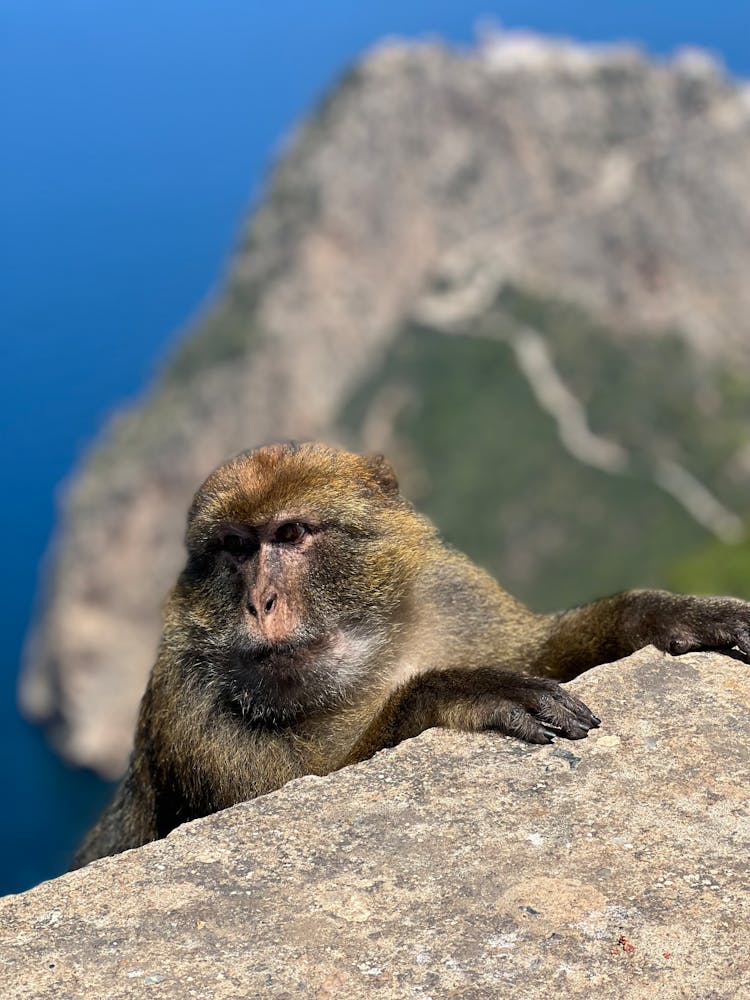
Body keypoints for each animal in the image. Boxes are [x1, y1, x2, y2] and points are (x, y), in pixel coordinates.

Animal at [72, 440, 750, 868]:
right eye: (236, 547)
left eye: (289, 535)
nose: (259, 603)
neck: (365, 664)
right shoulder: (187, 707)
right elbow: (294, 795)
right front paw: (462, 692)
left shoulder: (454, 595)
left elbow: (542, 652)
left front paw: (666, 614)